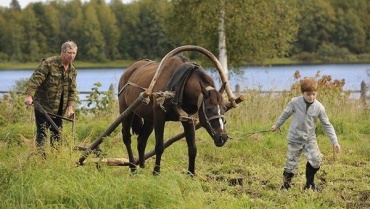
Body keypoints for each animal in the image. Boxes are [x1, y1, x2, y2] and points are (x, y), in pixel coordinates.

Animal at [117, 47, 230, 175]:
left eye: (224, 108)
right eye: (209, 109)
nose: (222, 138)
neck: (180, 85)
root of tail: (129, 69)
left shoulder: (188, 119)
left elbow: (192, 148)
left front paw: (191, 173)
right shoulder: (159, 116)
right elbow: (159, 146)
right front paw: (156, 172)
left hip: (149, 119)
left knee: (141, 140)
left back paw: (142, 166)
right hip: (126, 111)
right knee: (127, 138)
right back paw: (133, 168)